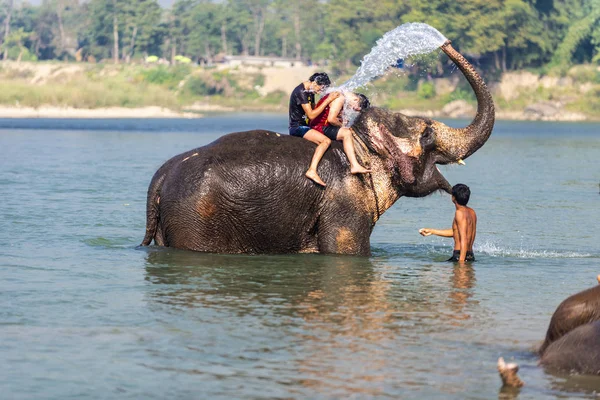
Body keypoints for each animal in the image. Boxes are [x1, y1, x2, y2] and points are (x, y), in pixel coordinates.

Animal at [139, 39, 492, 255]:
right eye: (428, 135)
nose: (445, 43)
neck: (361, 144)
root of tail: (160, 177)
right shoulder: (345, 203)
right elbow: (347, 251)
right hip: (194, 218)